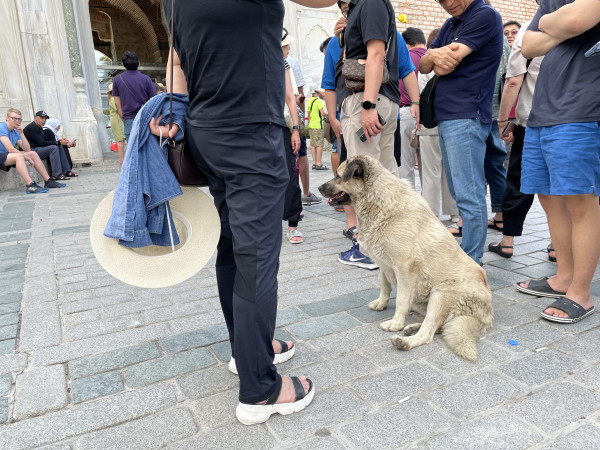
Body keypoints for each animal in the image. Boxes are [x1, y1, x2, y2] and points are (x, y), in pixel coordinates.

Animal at [319, 155, 493, 361]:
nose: (319, 188)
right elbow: (385, 287)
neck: (377, 200)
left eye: (339, 175)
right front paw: (381, 304)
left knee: (429, 332)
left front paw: (395, 323)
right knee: (438, 326)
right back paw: (412, 328)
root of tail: (488, 312)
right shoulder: (384, 264)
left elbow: (401, 300)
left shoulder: (404, 268)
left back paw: (405, 341)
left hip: (439, 294)